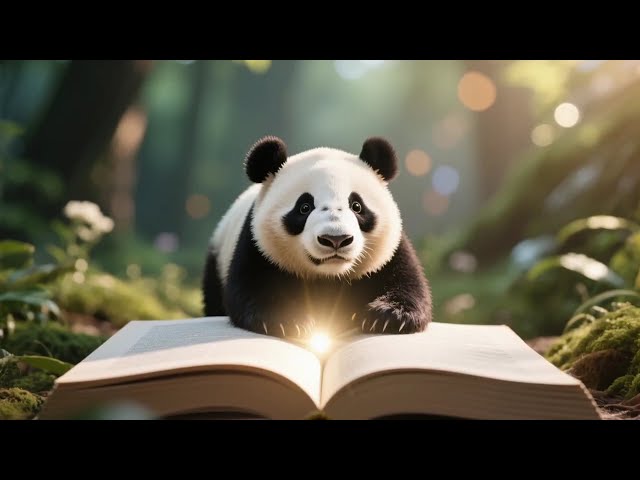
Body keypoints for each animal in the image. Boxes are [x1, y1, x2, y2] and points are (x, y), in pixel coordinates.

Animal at [202, 136, 432, 338]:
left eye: (356, 206)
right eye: (304, 207)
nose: (336, 239)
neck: (328, 276)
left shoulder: (391, 251)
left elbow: (407, 283)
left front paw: (388, 315)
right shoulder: (257, 245)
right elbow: (252, 287)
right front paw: (290, 319)